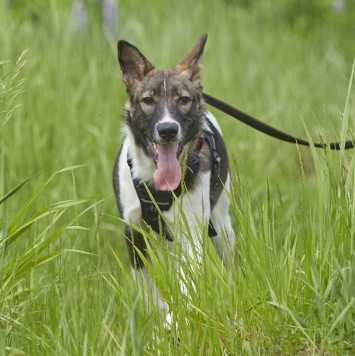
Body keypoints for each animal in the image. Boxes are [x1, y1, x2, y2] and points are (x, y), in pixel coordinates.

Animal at [114, 34, 236, 314]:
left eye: (183, 100)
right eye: (148, 100)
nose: (168, 129)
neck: (153, 181)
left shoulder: (192, 233)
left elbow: (186, 285)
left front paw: (175, 318)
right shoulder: (133, 230)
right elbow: (147, 285)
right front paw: (156, 314)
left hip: (222, 227)